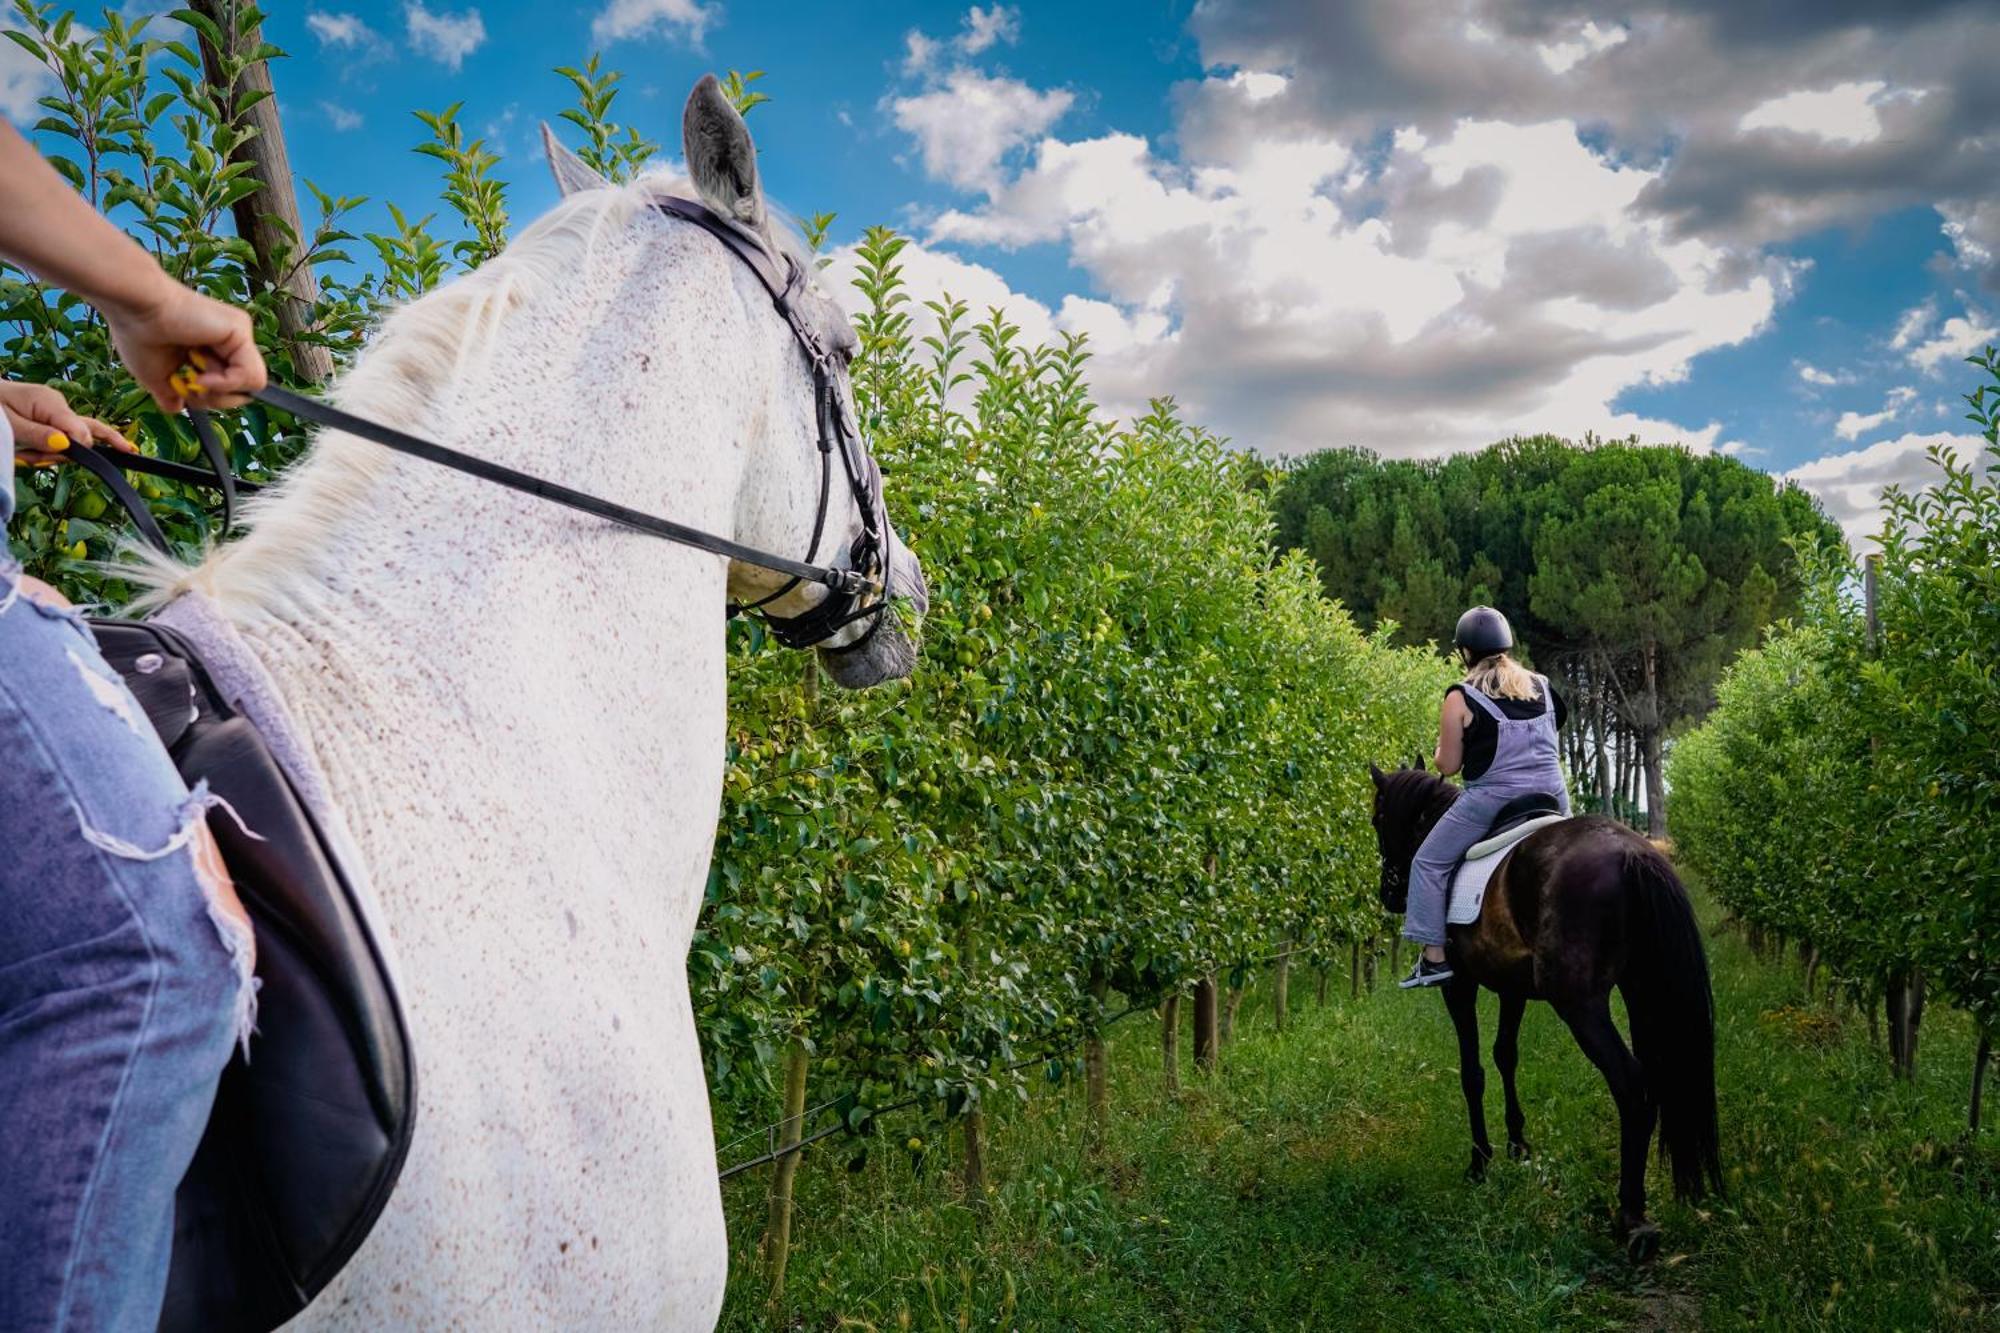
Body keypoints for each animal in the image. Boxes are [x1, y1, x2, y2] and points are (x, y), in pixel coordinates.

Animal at [1376, 756, 1720, 1256]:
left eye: (1377, 817)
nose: (1389, 894)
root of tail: (1630, 853)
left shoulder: (1459, 986)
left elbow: (1472, 1072)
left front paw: (1480, 1161)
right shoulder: (1512, 988)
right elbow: (1506, 1055)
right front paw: (1518, 1144)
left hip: (1580, 1005)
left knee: (1632, 1084)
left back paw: (1632, 1216)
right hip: (1642, 988)